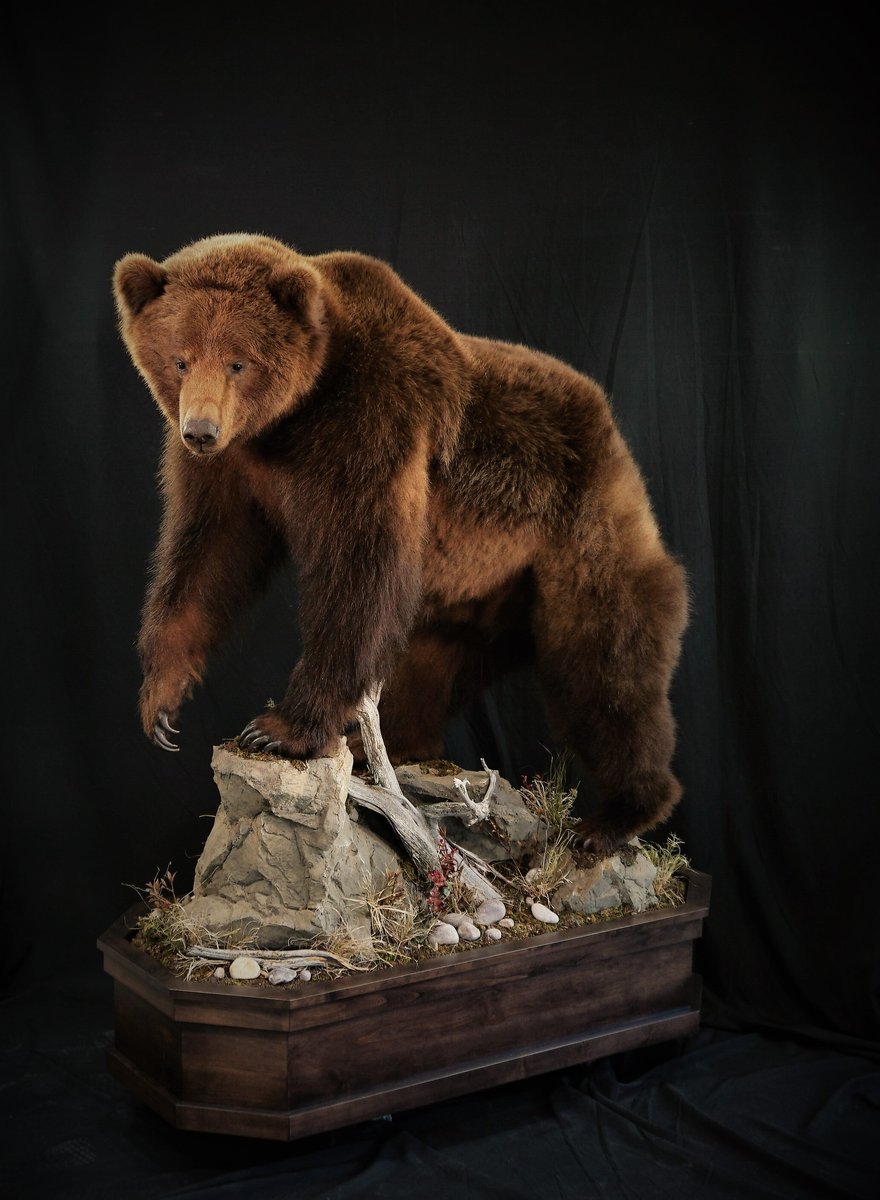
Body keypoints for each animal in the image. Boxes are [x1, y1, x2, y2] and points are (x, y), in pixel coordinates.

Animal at [112, 232, 690, 855]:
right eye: (180, 358)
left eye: (238, 362)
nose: (200, 430)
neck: (294, 420)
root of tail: (612, 430)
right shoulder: (234, 471)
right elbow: (207, 556)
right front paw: (162, 698)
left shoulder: (372, 428)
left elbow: (360, 573)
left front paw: (280, 728)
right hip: (482, 592)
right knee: (431, 663)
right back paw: (381, 745)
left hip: (576, 532)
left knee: (605, 665)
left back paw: (616, 815)